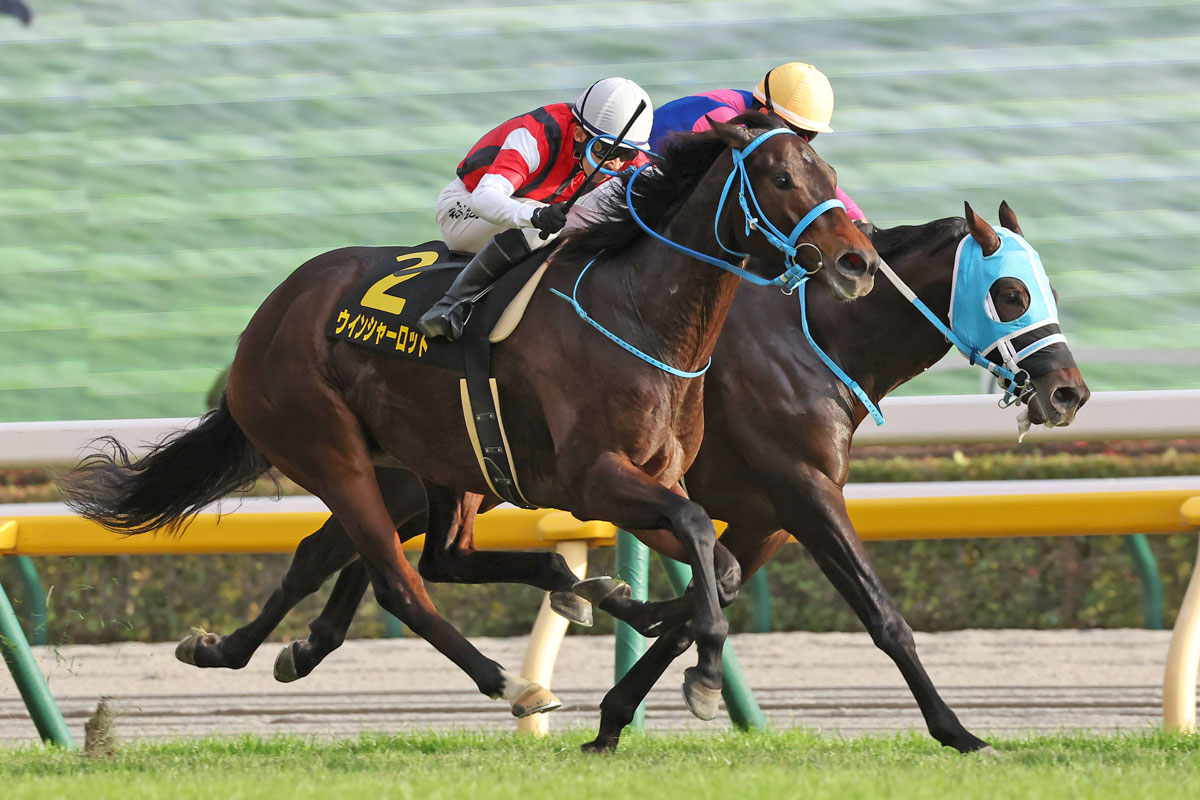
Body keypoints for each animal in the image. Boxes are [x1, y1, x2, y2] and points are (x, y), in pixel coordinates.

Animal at [60, 114, 881, 720]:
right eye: (782, 178)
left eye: (832, 178)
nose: (858, 264)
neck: (640, 314)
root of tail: (266, 319)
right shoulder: (594, 479)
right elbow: (697, 532)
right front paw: (702, 670)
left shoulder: (649, 478)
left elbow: (722, 560)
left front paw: (631, 605)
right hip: (331, 451)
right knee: (402, 583)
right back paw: (511, 684)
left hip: (443, 462)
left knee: (430, 559)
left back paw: (229, 649)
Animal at [158, 201, 1087, 754]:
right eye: (1009, 292)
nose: (1069, 391)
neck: (812, 337)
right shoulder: (802, 492)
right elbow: (879, 615)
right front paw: (957, 730)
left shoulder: (764, 513)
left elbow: (708, 594)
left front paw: (616, 706)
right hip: (397, 457)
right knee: (380, 561)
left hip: (434, 465)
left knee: (346, 552)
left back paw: (266, 647)